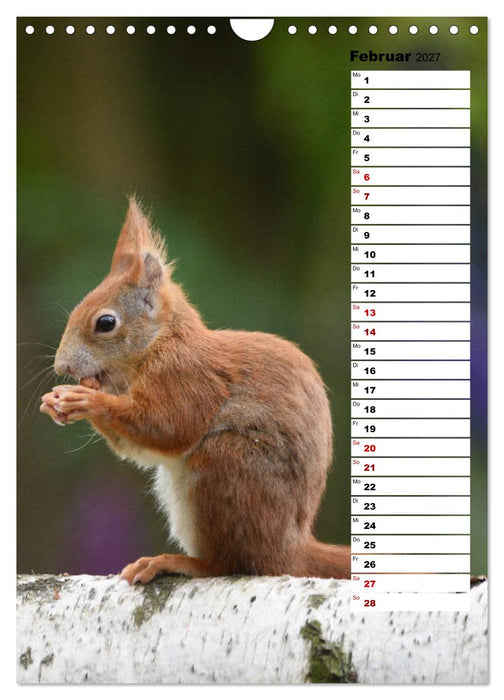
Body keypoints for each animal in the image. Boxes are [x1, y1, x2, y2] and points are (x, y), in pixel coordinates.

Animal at [40, 198, 350, 584]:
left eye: (105, 323)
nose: (62, 367)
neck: (161, 343)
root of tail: (291, 550)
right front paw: (55, 401)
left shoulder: (187, 378)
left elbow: (168, 427)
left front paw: (87, 400)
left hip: (224, 467)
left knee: (231, 563)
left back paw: (175, 562)